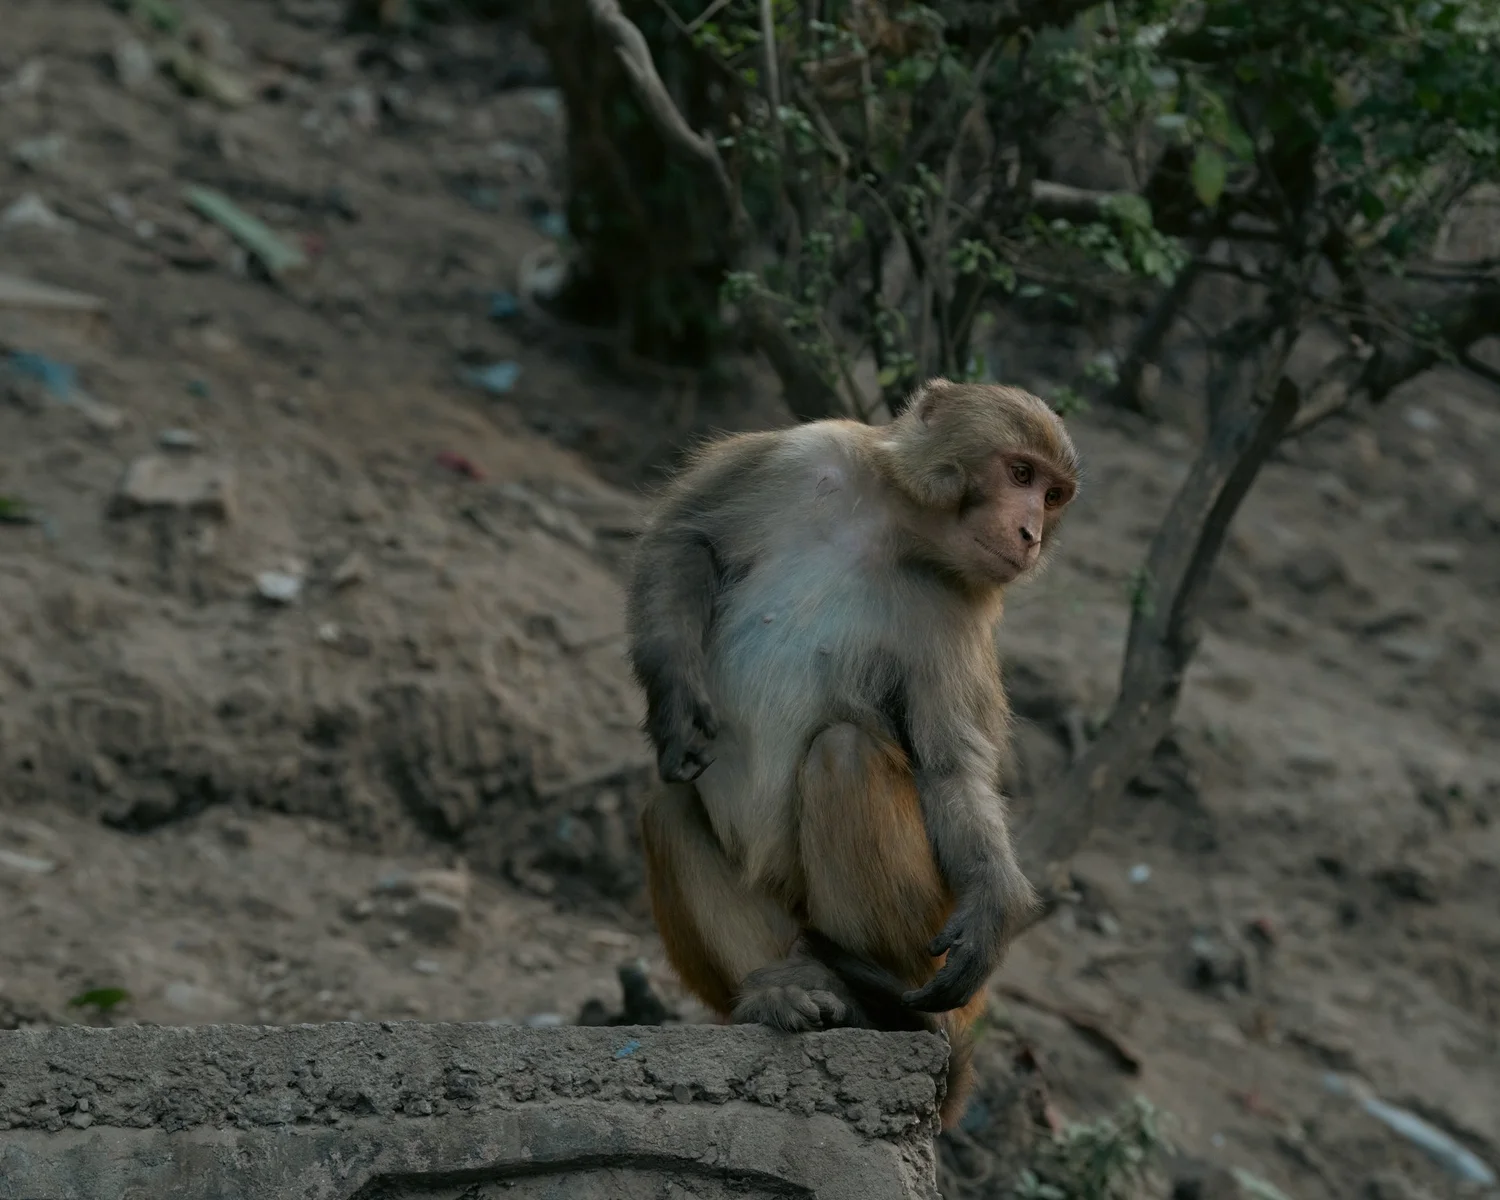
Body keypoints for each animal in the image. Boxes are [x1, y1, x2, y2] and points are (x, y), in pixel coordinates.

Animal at [625, 378, 1080, 1127]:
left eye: (1052, 495)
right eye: (1020, 475)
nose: (1031, 534)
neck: (895, 528)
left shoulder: (961, 611)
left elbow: (951, 772)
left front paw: (994, 899)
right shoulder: (803, 452)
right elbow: (684, 538)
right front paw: (677, 695)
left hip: (928, 941)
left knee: (844, 753)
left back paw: (878, 1003)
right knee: (667, 804)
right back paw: (781, 990)